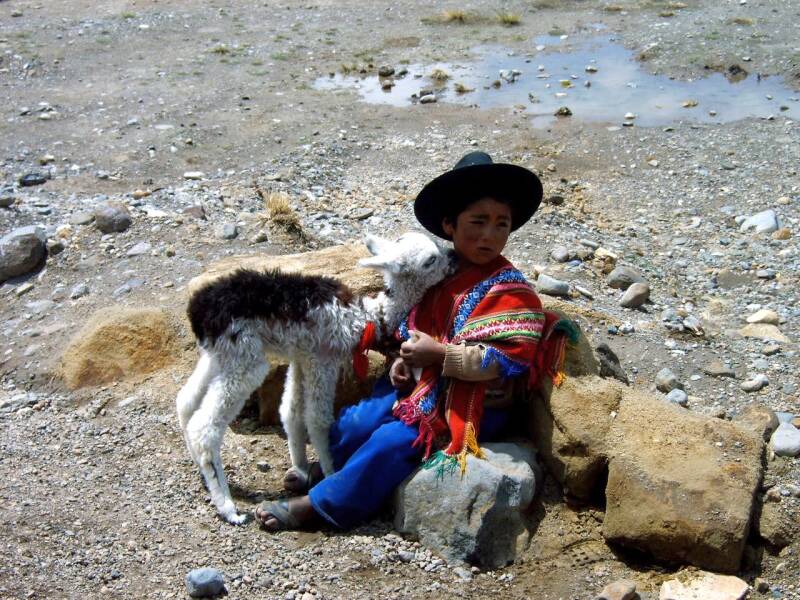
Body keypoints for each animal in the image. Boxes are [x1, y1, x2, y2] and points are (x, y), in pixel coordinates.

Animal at [176, 232, 454, 524]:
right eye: (430, 260)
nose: (453, 257)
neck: (365, 318)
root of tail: (200, 309)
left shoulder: (301, 358)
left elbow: (291, 412)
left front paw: (299, 470)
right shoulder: (323, 359)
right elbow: (317, 419)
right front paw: (330, 472)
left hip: (218, 356)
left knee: (185, 401)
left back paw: (202, 471)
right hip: (244, 359)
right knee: (205, 427)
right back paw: (228, 507)